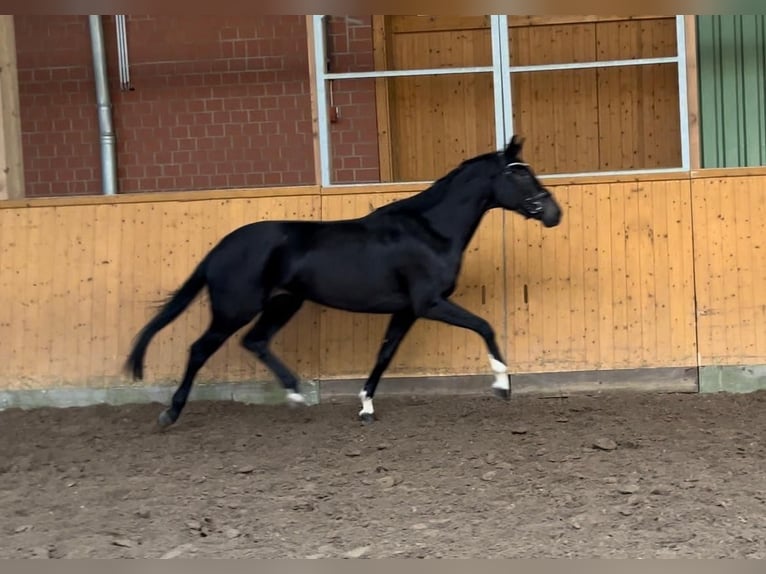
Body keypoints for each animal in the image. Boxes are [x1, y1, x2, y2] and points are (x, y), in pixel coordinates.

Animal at [126, 136, 564, 428]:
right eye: (519, 176)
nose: (554, 213)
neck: (429, 231)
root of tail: (220, 249)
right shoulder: (429, 303)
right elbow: (484, 326)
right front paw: (502, 385)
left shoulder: (407, 311)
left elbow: (385, 353)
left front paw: (366, 405)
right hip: (236, 308)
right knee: (201, 349)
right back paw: (171, 412)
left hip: (284, 303)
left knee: (256, 342)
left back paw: (296, 393)